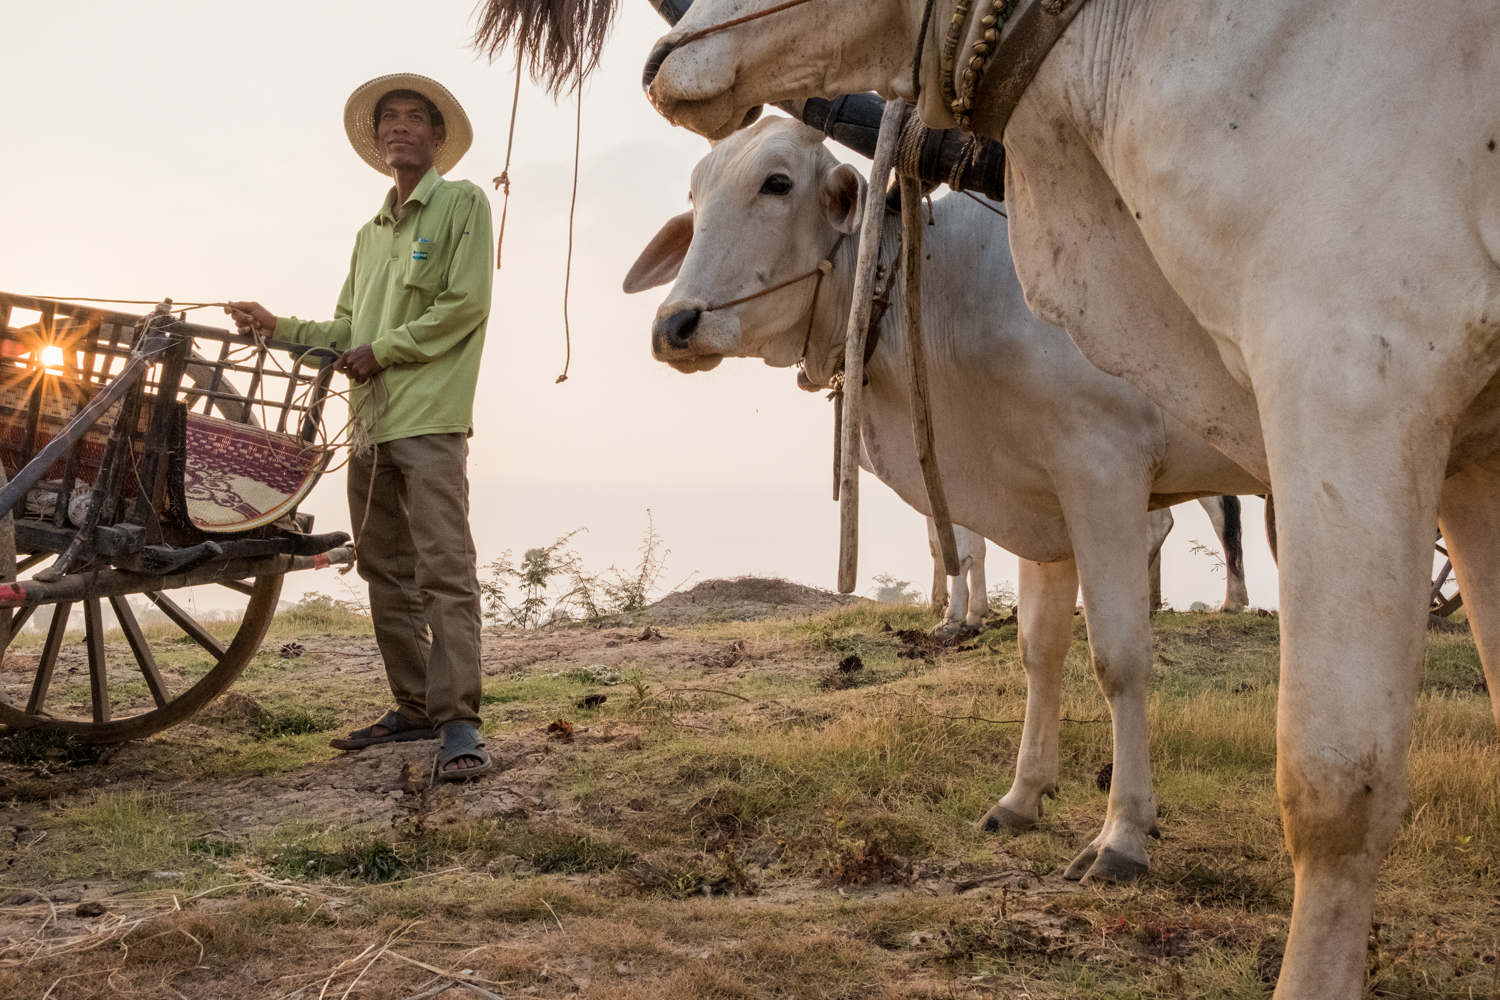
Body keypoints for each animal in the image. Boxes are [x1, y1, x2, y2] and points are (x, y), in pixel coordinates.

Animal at [621, 117, 1266, 881]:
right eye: (695, 195)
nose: (675, 325)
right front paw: (1022, 796)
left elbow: (1118, 656)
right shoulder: (1040, 503)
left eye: (777, 183)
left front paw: (1123, 834)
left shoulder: (1102, 472)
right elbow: (1038, 650)